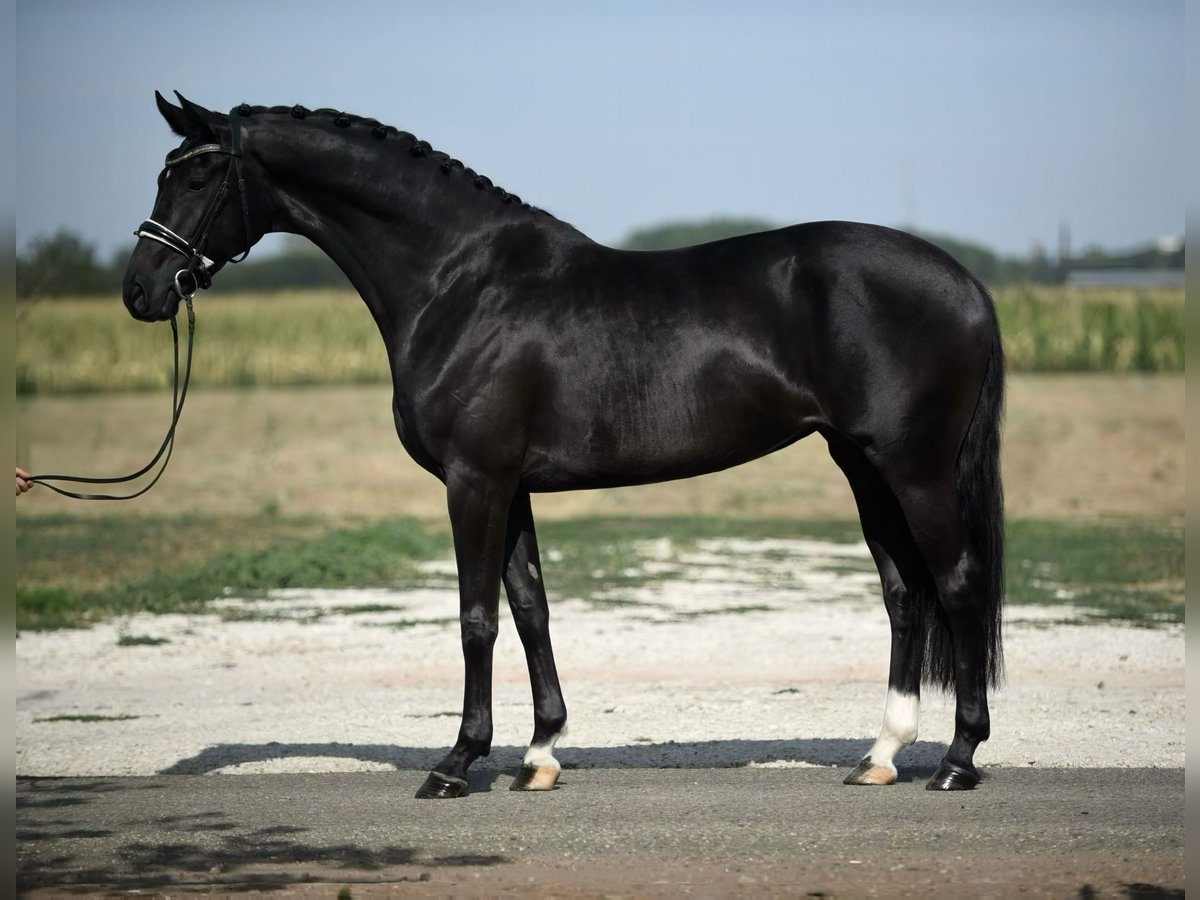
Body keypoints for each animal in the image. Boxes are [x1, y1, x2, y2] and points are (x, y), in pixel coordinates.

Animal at [124, 93, 1003, 796]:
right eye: (164, 173)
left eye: (195, 179)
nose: (141, 290)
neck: (459, 282)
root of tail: (965, 281)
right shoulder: (509, 484)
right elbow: (530, 607)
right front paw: (539, 754)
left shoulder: (473, 480)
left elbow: (476, 615)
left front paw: (456, 765)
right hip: (862, 466)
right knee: (903, 593)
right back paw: (881, 755)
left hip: (914, 469)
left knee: (958, 584)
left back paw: (958, 760)